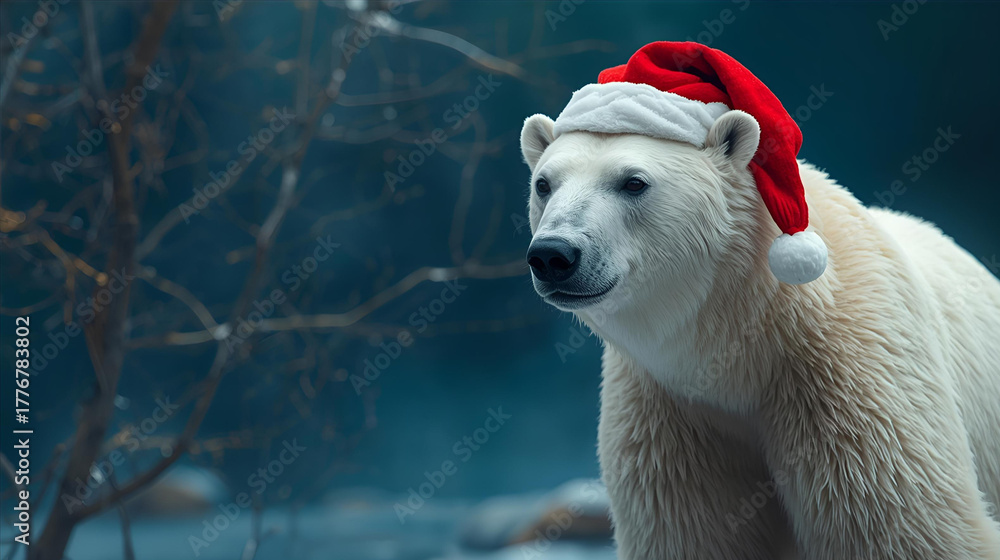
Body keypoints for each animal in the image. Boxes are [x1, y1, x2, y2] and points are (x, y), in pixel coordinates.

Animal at [519, 109, 1000, 559]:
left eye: (633, 182)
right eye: (543, 184)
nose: (553, 255)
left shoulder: (851, 382)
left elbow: (905, 528)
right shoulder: (670, 413)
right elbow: (691, 534)